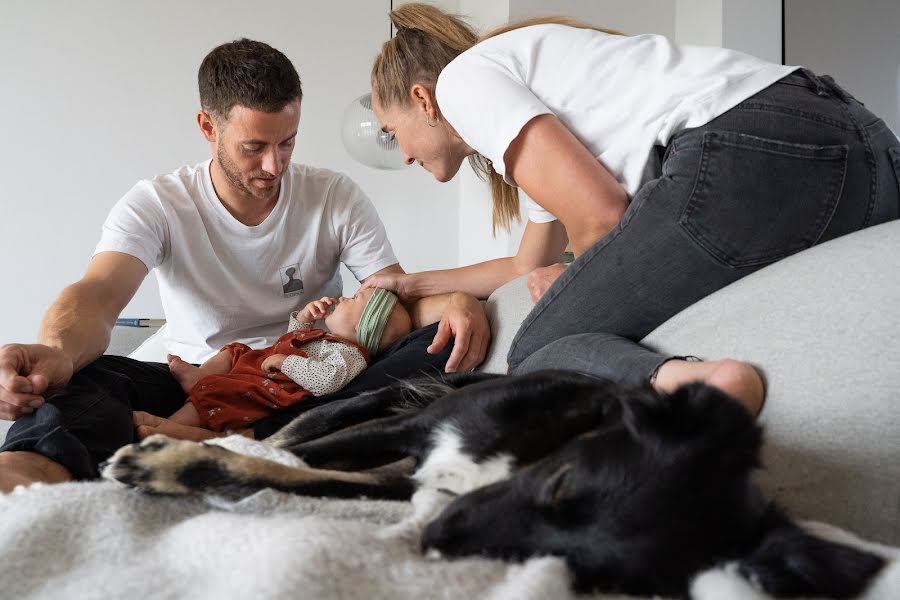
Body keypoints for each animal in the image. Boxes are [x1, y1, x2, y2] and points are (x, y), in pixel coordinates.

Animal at [102, 368, 884, 596]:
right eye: (562, 484)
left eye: (582, 573)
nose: (437, 542)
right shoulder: (412, 435)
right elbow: (275, 460)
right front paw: (165, 461)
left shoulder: (403, 483)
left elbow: (296, 478)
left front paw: (172, 464)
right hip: (390, 405)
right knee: (301, 430)